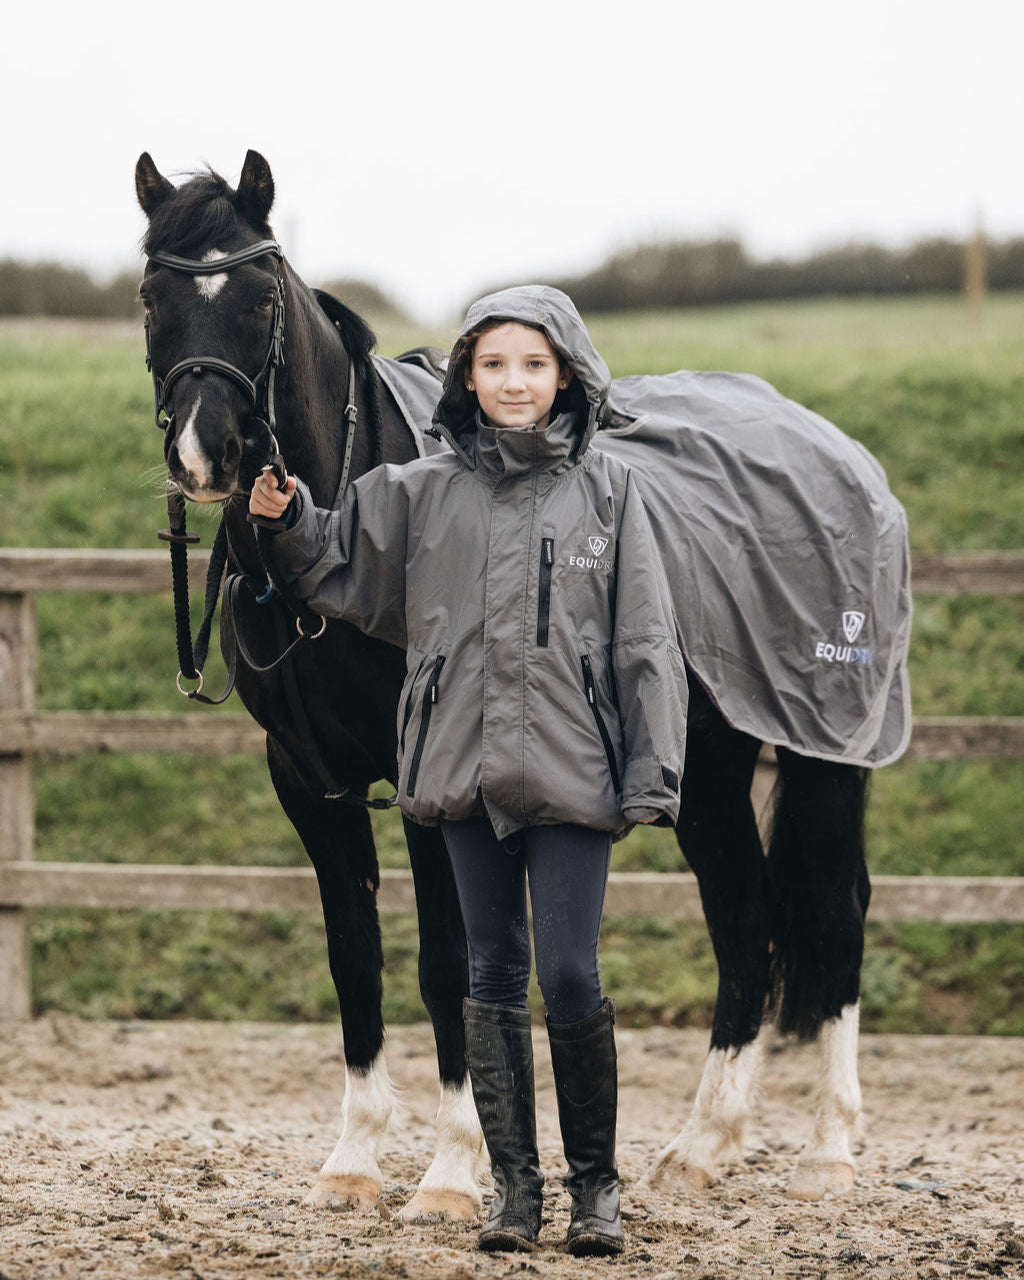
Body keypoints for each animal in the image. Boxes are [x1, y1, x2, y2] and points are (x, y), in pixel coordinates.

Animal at [135, 149, 909, 1210]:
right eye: (151, 299)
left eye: (258, 297)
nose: (204, 455)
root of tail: (841, 453)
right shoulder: (307, 782)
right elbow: (354, 960)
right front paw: (353, 1161)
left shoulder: (424, 780)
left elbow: (446, 962)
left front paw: (451, 1171)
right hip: (704, 766)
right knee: (745, 917)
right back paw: (705, 1143)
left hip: (827, 750)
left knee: (832, 914)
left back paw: (829, 1148)